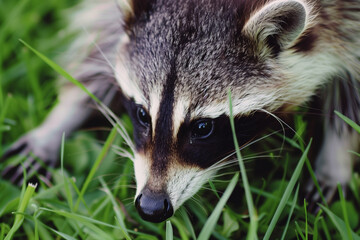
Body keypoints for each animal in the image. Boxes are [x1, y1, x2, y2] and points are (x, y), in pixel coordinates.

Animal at [2, 0, 360, 223]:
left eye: (203, 128)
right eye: (142, 114)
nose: (151, 207)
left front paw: (336, 156)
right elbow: (101, 43)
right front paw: (61, 120)